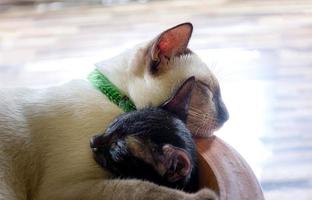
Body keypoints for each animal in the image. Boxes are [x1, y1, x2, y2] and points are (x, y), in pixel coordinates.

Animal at [0, 22, 227, 199]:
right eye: (206, 89)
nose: (227, 116)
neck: (113, 96)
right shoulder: (64, 189)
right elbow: (140, 188)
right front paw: (205, 196)